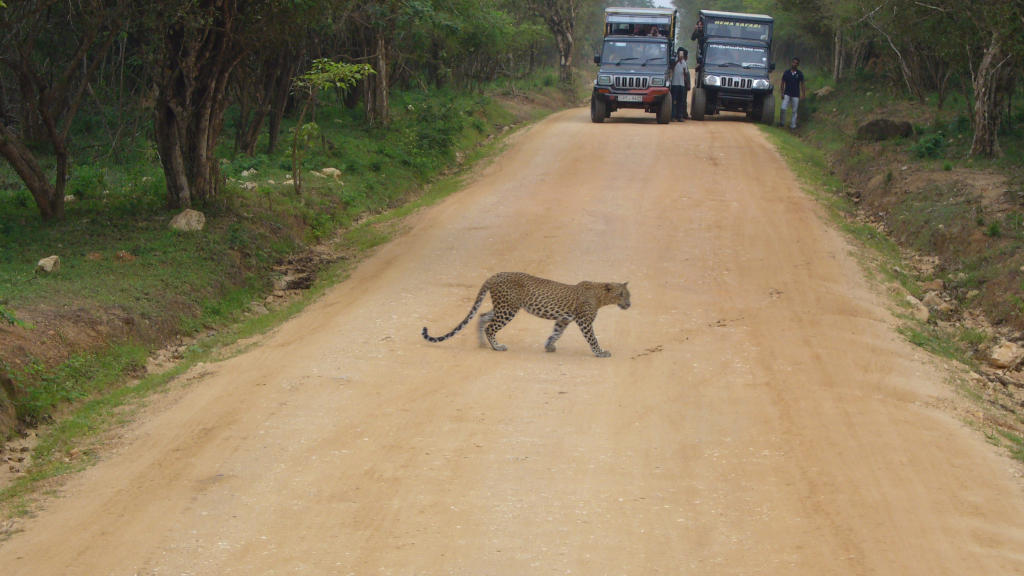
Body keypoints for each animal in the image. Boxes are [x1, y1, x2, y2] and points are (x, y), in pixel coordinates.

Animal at [419, 270, 626, 356]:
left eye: (628, 294)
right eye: (622, 294)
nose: (629, 304)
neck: (600, 295)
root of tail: (495, 275)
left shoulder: (563, 319)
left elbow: (556, 333)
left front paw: (549, 346)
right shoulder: (584, 321)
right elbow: (592, 338)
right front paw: (600, 352)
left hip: (503, 306)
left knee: (482, 316)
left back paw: (482, 343)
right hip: (507, 309)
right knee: (490, 327)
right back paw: (497, 347)